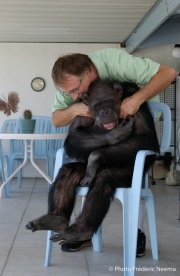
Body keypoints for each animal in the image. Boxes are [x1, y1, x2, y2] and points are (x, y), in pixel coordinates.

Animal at [25, 78, 159, 243]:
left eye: (108, 102)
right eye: (97, 105)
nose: (104, 111)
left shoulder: (134, 100)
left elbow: (145, 138)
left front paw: (95, 157)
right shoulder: (83, 110)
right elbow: (74, 135)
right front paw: (115, 134)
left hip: (128, 172)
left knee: (104, 178)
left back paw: (79, 231)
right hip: (83, 171)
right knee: (69, 171)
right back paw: (56, 219)